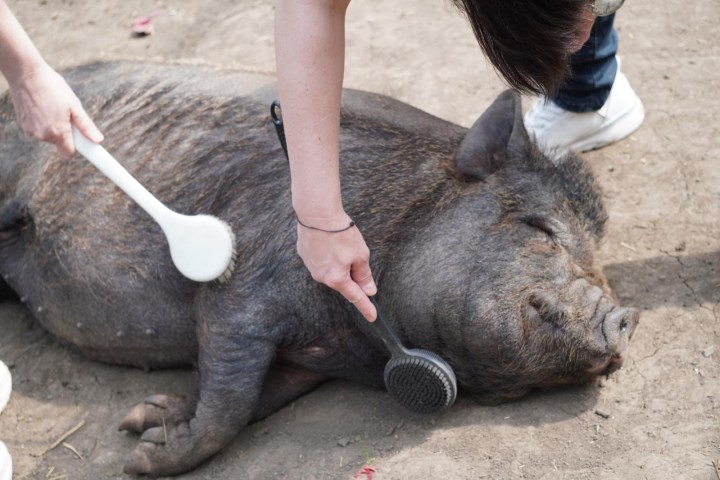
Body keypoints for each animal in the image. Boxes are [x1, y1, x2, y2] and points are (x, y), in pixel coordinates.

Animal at [0, 61, 638, 476]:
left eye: (593, 247)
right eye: (540, 228)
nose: (626, 316)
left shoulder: (305, 362)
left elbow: (255, 396)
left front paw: (149, 420)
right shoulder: (240, 284)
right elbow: (230, 398)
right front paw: (139, 454)